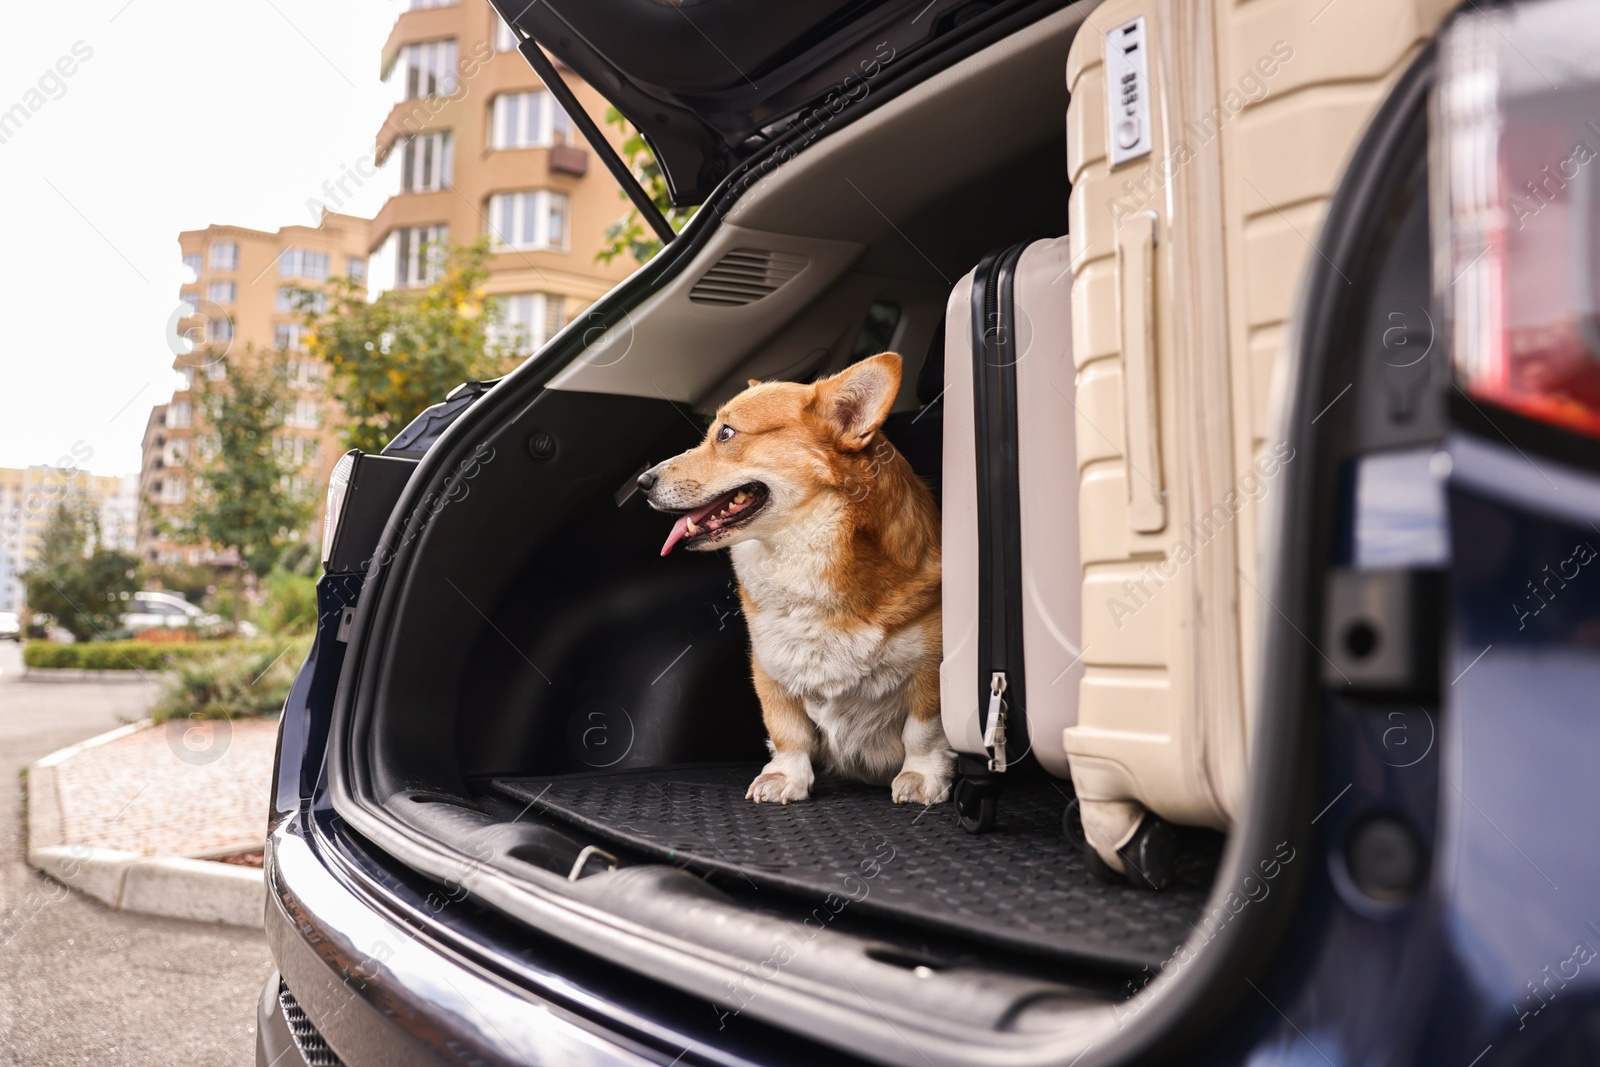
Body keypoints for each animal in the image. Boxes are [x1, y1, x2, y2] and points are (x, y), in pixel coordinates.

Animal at [636, 355, 947, 806]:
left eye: (726, 433)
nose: (642, 483)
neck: (802, 551)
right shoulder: (770, 667)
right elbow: (787, 730)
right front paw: (785, 778)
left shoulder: (930, 670)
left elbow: (922, 732)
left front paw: (922, 777)